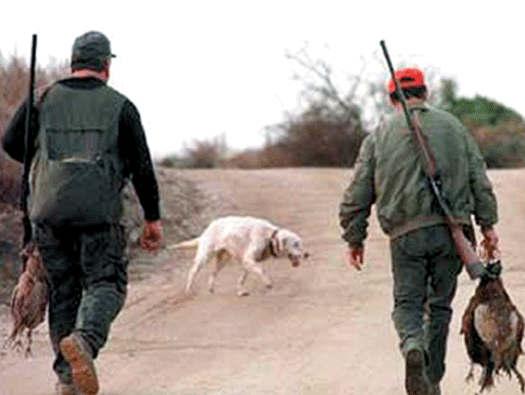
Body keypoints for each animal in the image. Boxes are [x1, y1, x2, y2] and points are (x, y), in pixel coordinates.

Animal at [168, 217, 308, 296]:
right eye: (296, 244)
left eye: (300, 243)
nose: (307, 254)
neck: (270, 237)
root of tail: (206, 230)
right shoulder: (249, 260)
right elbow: (262, 271)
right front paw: (268, 283)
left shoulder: (248, 263)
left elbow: (242, 279)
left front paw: (241, 291)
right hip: (204, 257)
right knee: (192, 272)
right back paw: (189, 290)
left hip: (223, 260)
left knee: (213, 273)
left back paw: (211, 288)